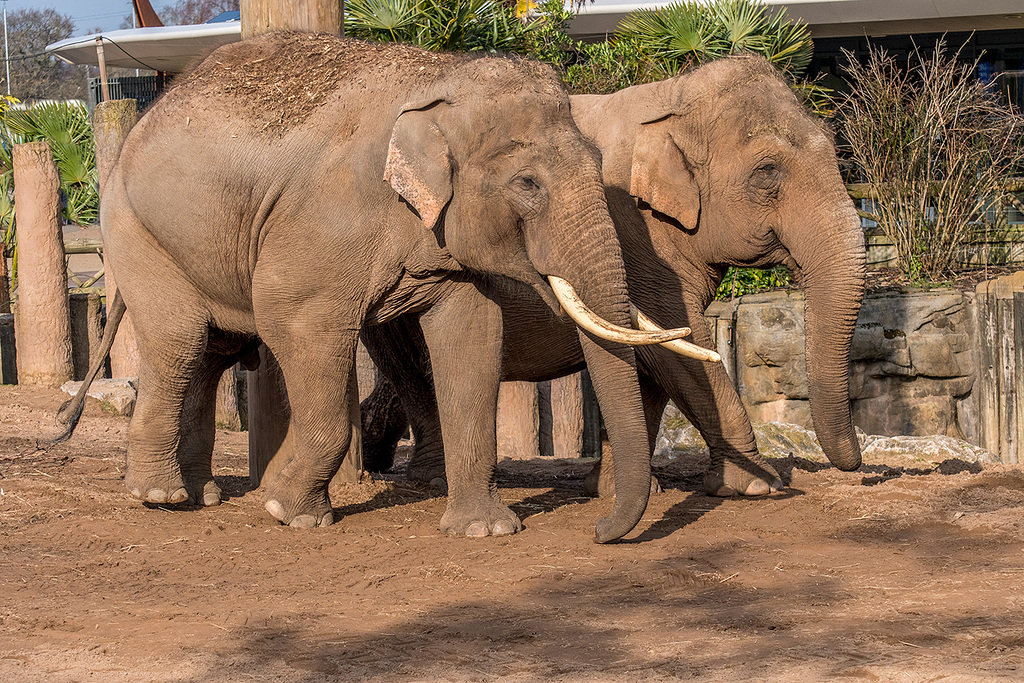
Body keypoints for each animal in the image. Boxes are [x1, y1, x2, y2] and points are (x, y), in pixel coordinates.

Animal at [58, 31, 696, 540]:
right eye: (528, 184)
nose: (599, 530)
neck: (438, 79)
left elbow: (474, 334)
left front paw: (484, 529)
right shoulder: (323, 220)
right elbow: (296, 322)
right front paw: (291, 512)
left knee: (213, 353)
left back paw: (202, 494)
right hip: (138, 233)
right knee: (180, 341)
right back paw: (160, 497)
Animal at [360, 54, 864, 497]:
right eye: (767, 172)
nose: (856, 465)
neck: (671, 96)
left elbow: (655, 359)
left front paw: (616, 488)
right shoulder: (638, 234)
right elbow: (680, 343)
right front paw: (757, 486)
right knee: (412, 367)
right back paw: (427, 478)